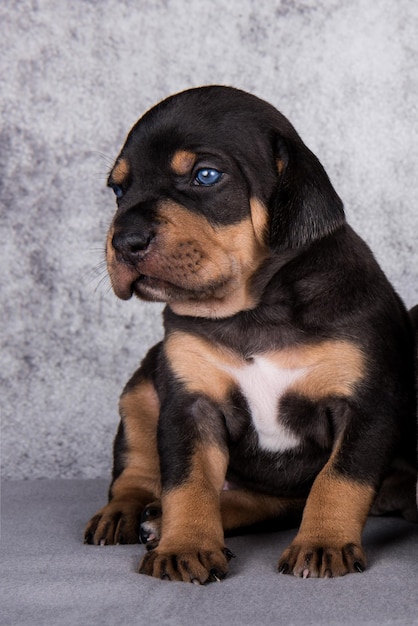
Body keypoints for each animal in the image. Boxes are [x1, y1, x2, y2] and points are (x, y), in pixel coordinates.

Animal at [83, 86, 416, 580]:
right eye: (118, 190)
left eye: (205, 175)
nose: (124, 240)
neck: (254, 310)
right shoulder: (190, 405)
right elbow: (186, 481)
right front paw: (184, 546)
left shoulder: (366, 407)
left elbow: (339, 479)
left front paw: (322, 543)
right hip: (142, 385)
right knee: (139, 467)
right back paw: (131, 513)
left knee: (276, 499)